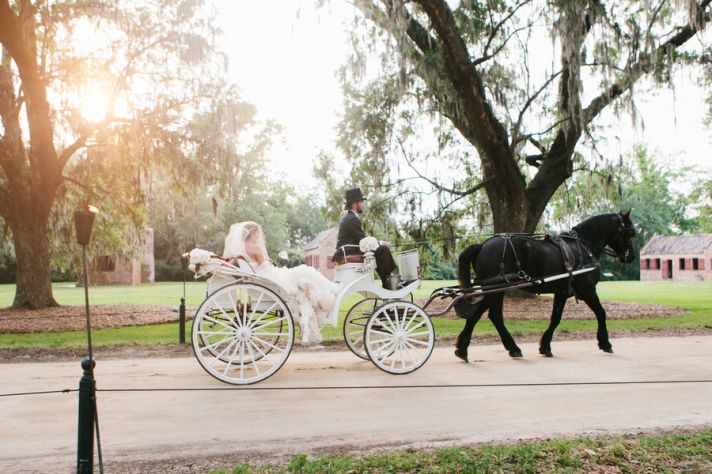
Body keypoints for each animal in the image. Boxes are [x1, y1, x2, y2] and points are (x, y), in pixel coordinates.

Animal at [454, 211, 636, 362]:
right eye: (629, 232)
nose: (631, 257)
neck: (583, 248)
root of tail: (483, 245)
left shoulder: (562, 293)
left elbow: (555, 318)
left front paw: (545, 346)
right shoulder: (588, 290)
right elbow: (601, 313)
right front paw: (605, 342)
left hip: (498, 289)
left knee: (492, 315)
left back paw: (506, 348)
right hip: (495, 289)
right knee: (482, 314)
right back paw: (466, 348)